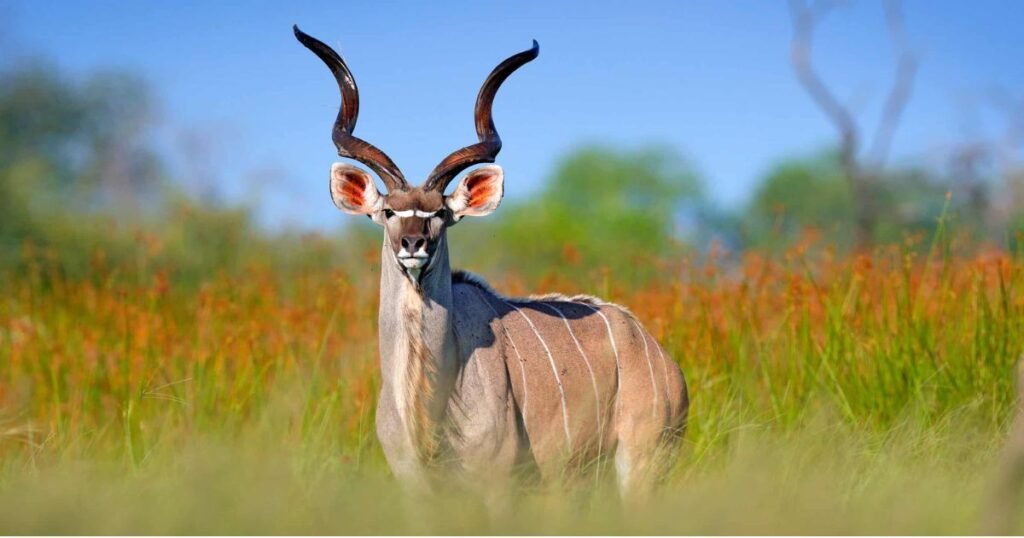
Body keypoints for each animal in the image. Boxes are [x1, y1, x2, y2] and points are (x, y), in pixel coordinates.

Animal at [294, 26, 689, 501]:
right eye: (389, 212)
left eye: (439, 214)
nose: (413, 243)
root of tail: (659, 355)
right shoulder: (416, 487)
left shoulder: (497, 481)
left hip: (643, 463)